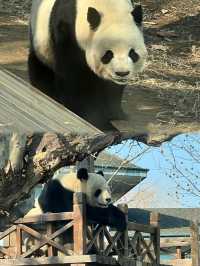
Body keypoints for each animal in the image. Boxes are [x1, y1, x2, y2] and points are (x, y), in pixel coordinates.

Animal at [28, 0, 147, 130]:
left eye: (132, 53)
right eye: (108, 54)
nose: (122, 73)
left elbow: (111, 88)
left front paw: (115, 114)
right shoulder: (68, 33)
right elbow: (74, 82)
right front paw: (99, 122)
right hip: (42, 41)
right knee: (41, 68)